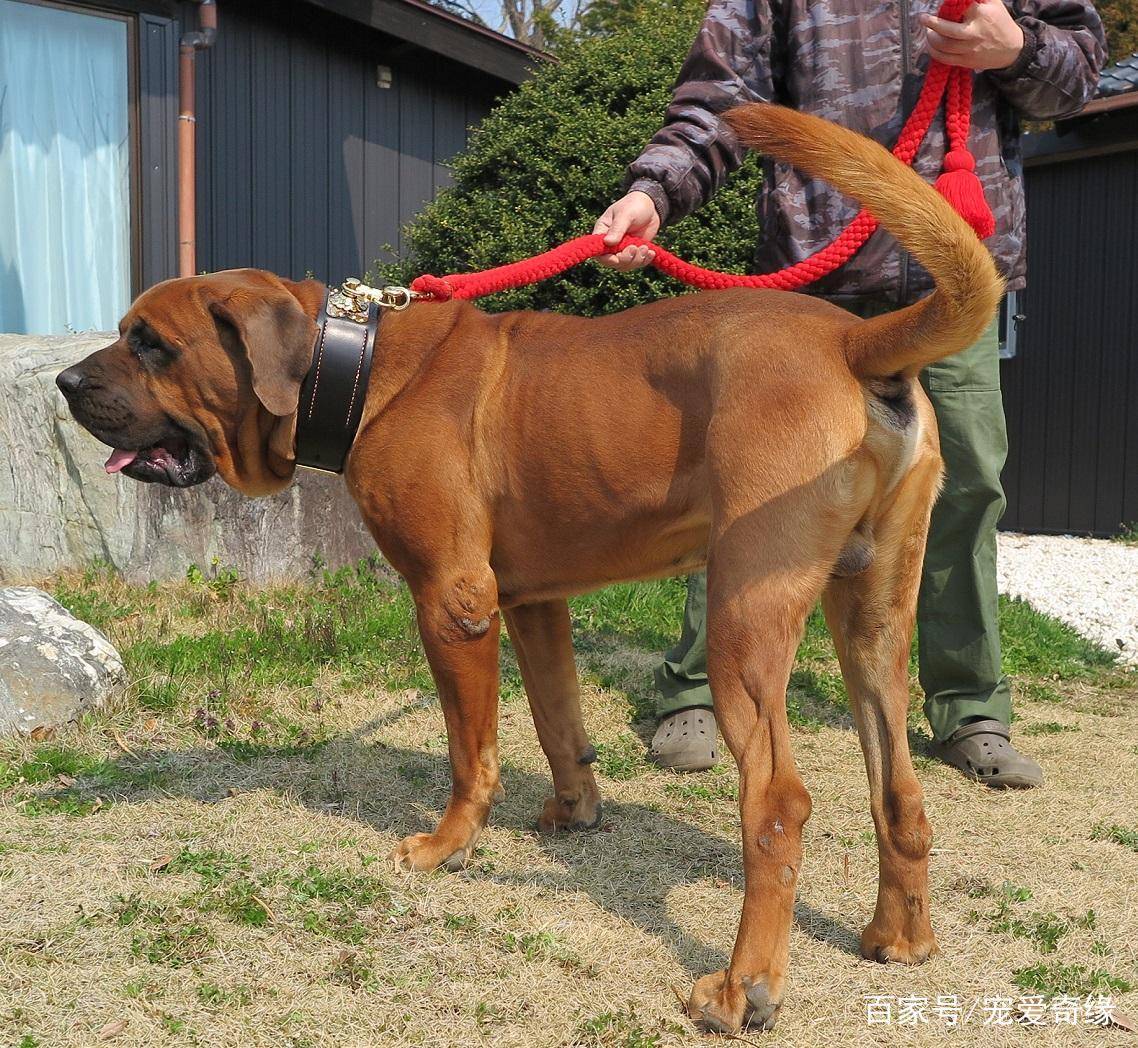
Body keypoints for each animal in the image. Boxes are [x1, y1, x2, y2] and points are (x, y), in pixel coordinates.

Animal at [57, 106, 996, 1028]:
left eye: (152, 344)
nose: (64, 381)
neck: (354, 365)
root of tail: (855, 343)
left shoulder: (453, 601)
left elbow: (471, 750)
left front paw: (448, 845)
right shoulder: (533, 601)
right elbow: (557, 722)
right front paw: (574, 813)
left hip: (744, 621)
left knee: (778, 804)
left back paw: (742, 989)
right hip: (872, 621)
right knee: (899, 791)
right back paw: (899, 937)